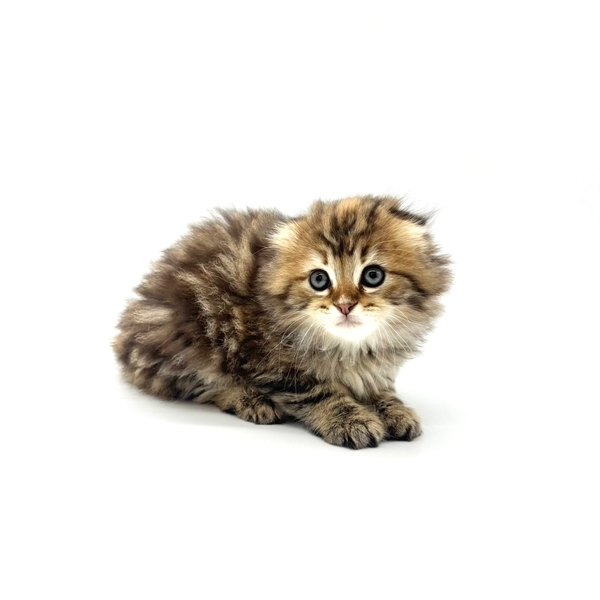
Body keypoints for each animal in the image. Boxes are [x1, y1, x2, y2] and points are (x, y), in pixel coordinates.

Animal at [113, 195, 451, 449]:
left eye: (372, 275)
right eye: (319, 280)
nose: (344, 305)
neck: (349, 346)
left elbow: (380, 388)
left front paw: (393, 409)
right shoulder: (271, 363)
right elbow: (320, 393)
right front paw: (349, 419)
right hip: (188, 338)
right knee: (199, 385)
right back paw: (250, 400)